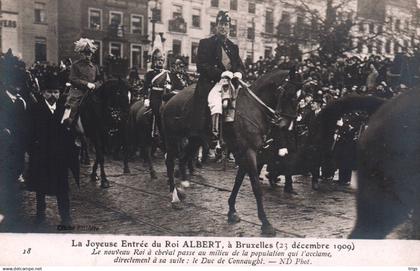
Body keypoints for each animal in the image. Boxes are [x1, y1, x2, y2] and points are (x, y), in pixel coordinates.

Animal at [162, 69, 302, 236]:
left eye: (300, 97)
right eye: (290, 94)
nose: (288, 125)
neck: (252, 108)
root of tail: (171, 99)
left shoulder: (245, 152)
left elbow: (238, 181)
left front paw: (231, 212)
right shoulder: (249, 152)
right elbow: (255, 186)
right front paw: (265, 223)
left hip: (194, 139)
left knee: (183, 158)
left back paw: (182, 187)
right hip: (173, 138)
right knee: (170, 161)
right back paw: (174, 195)